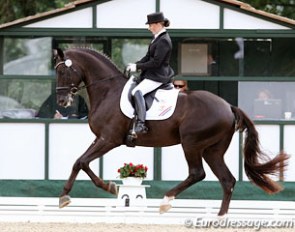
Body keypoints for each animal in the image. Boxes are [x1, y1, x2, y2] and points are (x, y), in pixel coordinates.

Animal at [53, 47, 290, 216]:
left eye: (62, 71)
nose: (62, 101)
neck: (108, 91)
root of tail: (228, 106)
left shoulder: (109, 139)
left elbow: (83, 161)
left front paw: (108, 187)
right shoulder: (100, 138)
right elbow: (79, 162)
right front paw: (65, 197)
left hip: (191, 143)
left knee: (197, 173)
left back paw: (166, 201)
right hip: (212, 150)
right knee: (227, 180)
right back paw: (220, 218)